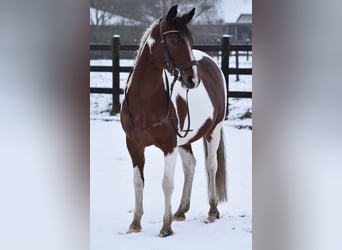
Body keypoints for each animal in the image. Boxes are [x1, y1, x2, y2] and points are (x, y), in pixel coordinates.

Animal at [120, 5, 227, 236]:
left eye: (191, 40)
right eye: (173, 41)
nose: (193, 79)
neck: (145, 102)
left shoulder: (169, 146)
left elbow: (167, 183)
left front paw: (166, 227)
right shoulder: (134, 145)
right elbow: (138, 182)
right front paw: (135, 224)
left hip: (214, 130)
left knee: (211, 166)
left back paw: (212, 211)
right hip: (184, 141)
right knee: (191, 166)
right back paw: (181, 210)